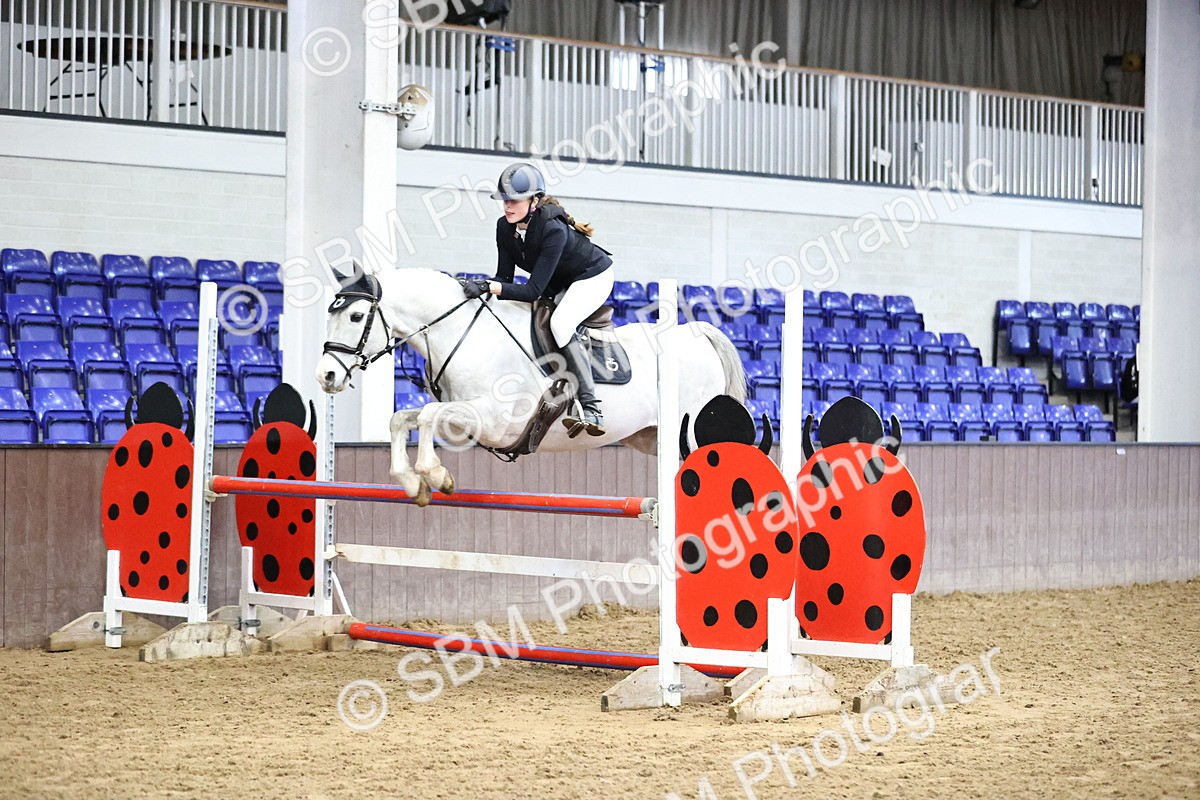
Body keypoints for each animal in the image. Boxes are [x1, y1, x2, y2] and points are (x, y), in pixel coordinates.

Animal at [314, 267, 746, 505]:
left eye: (356, 316)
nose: (326, 376)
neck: (462, 332)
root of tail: (698, 333)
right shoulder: (466, 418)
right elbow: (404, 418)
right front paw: (412, 482)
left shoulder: (495, 420)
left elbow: (427, 415)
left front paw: (436, 475)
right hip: (650, 437)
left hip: (687, 433)